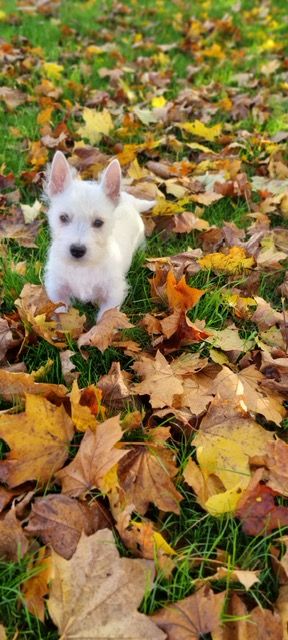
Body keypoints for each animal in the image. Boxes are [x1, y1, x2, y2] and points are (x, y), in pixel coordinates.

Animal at [43, 150, 154, 320]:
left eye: (98, 222)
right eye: (63, 218)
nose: (77, 250)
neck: (82, 268)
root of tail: (130, 201)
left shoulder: (113, 294)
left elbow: (106, 319)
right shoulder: (57, 289)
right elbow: (60, 311)